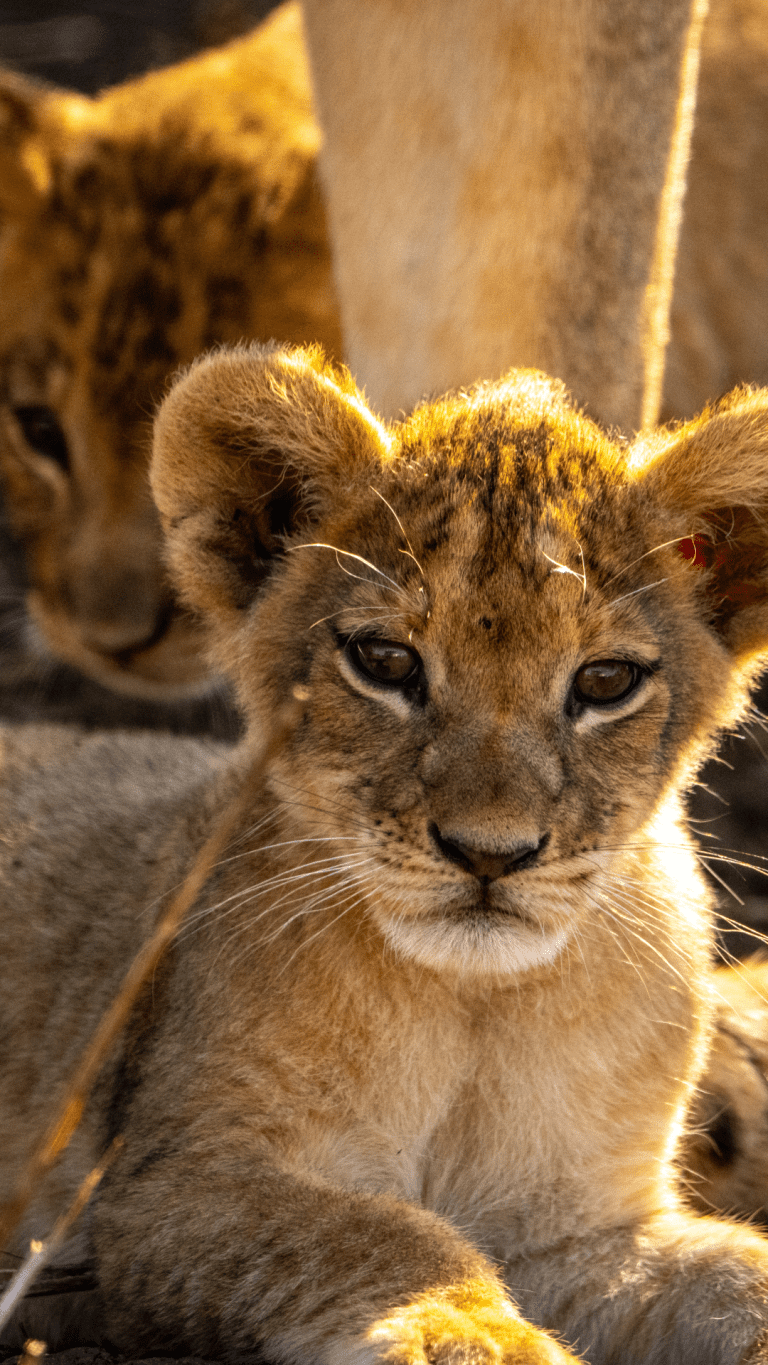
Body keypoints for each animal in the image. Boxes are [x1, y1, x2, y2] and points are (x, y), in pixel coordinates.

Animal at [4, 343, 768, 1362]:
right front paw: (475, 1335)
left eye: (606, 681)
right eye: (387, 662)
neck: (477, 1007)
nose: (491, 853)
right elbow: (387, 1231)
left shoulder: (578, 1228)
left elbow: (736, 1273)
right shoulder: (158, 1187)